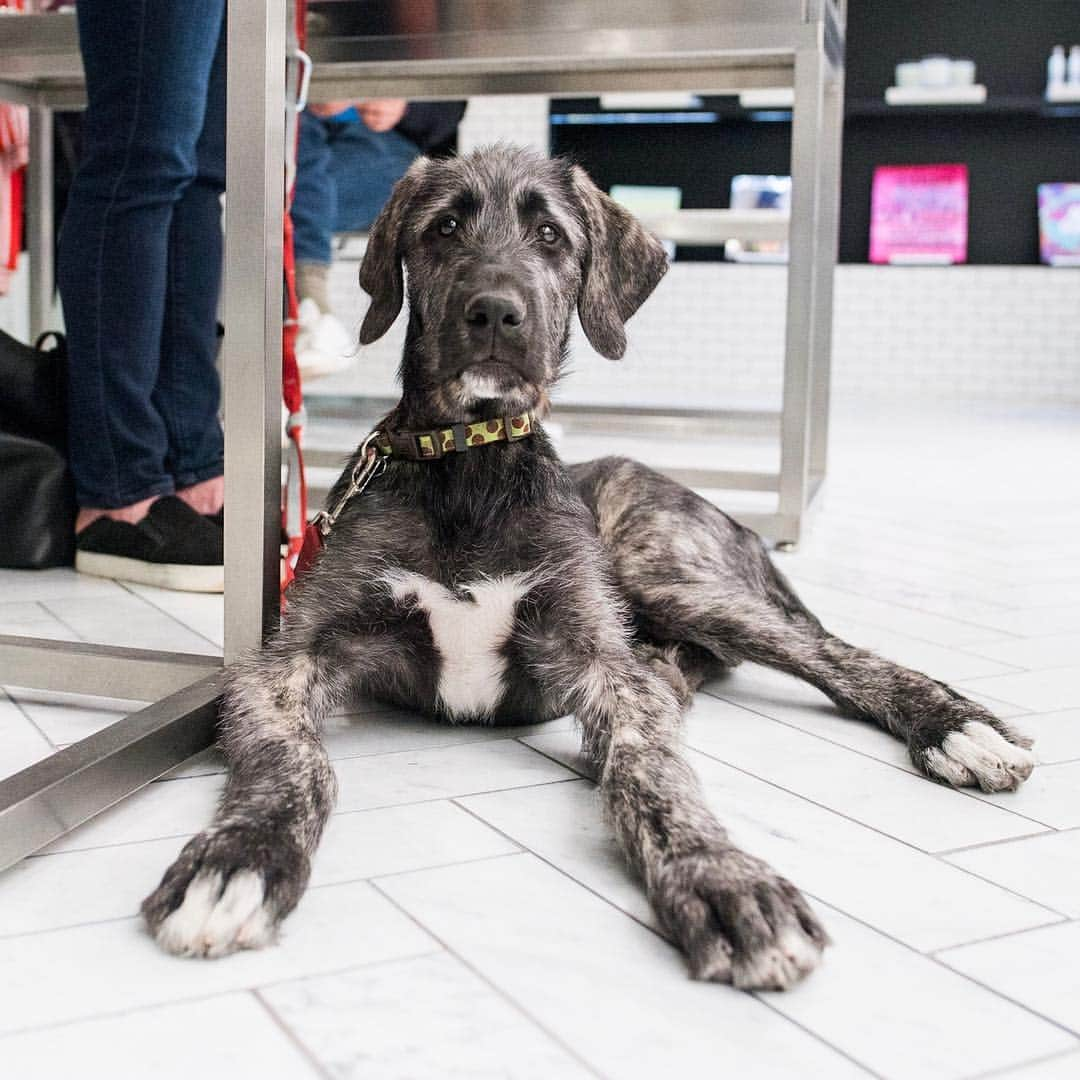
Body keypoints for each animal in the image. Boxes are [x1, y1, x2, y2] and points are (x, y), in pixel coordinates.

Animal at [139, 147, 1032, 989]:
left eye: (550, 236)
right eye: (444, 228)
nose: (495, 313)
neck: (471, 466)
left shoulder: (599, 660)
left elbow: (653, 772)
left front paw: (720, 878)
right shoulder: (290, 661)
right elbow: (293, 761)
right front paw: (239, 857)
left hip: (668, 576)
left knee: (832, 654)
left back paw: (958, 729)